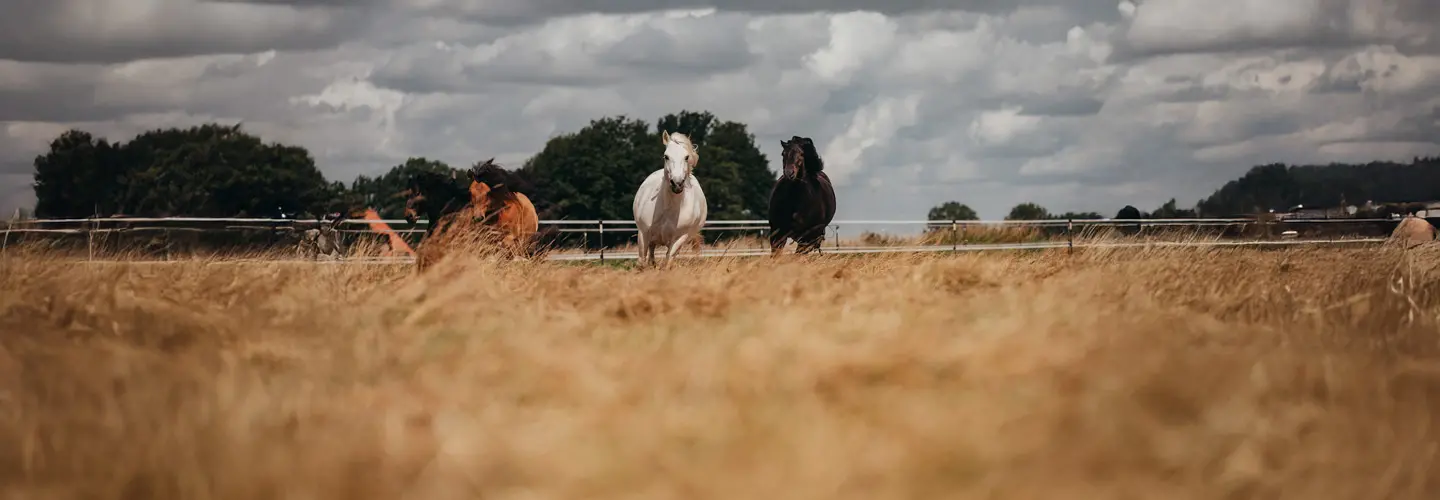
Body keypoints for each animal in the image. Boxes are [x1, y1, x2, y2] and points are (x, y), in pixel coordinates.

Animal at [632, 130, 707, 269]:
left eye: (686, 157)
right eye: (666, 156)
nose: (677, 184)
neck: (669, 207)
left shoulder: (679, 238)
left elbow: (668, 261)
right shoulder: (643, 233)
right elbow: (641, 261)